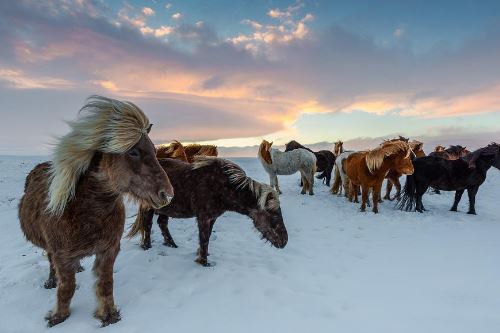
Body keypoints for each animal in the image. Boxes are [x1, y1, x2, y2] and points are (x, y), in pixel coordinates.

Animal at [18, 94, 174, 326]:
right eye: (133, 152)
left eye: (155, 151)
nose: (167, 195)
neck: (87, 212)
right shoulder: (62, 255)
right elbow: (67, 288)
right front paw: (58, 316)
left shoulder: (108, 251)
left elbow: (105, 284)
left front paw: (108, 315)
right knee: (51, 263)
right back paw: (51, 281)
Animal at [127, 157, 288, 266]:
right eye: (274, 216)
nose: (284, 241)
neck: (223, 187)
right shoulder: (204, 217)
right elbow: (204, 238)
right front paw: (203, 262)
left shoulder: (212, 218)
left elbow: (207, 237)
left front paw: (202, 255)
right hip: (149, 208)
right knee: (147, 225)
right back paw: (147, 246)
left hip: (166, 209)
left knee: (162, 223)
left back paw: (172, 245)